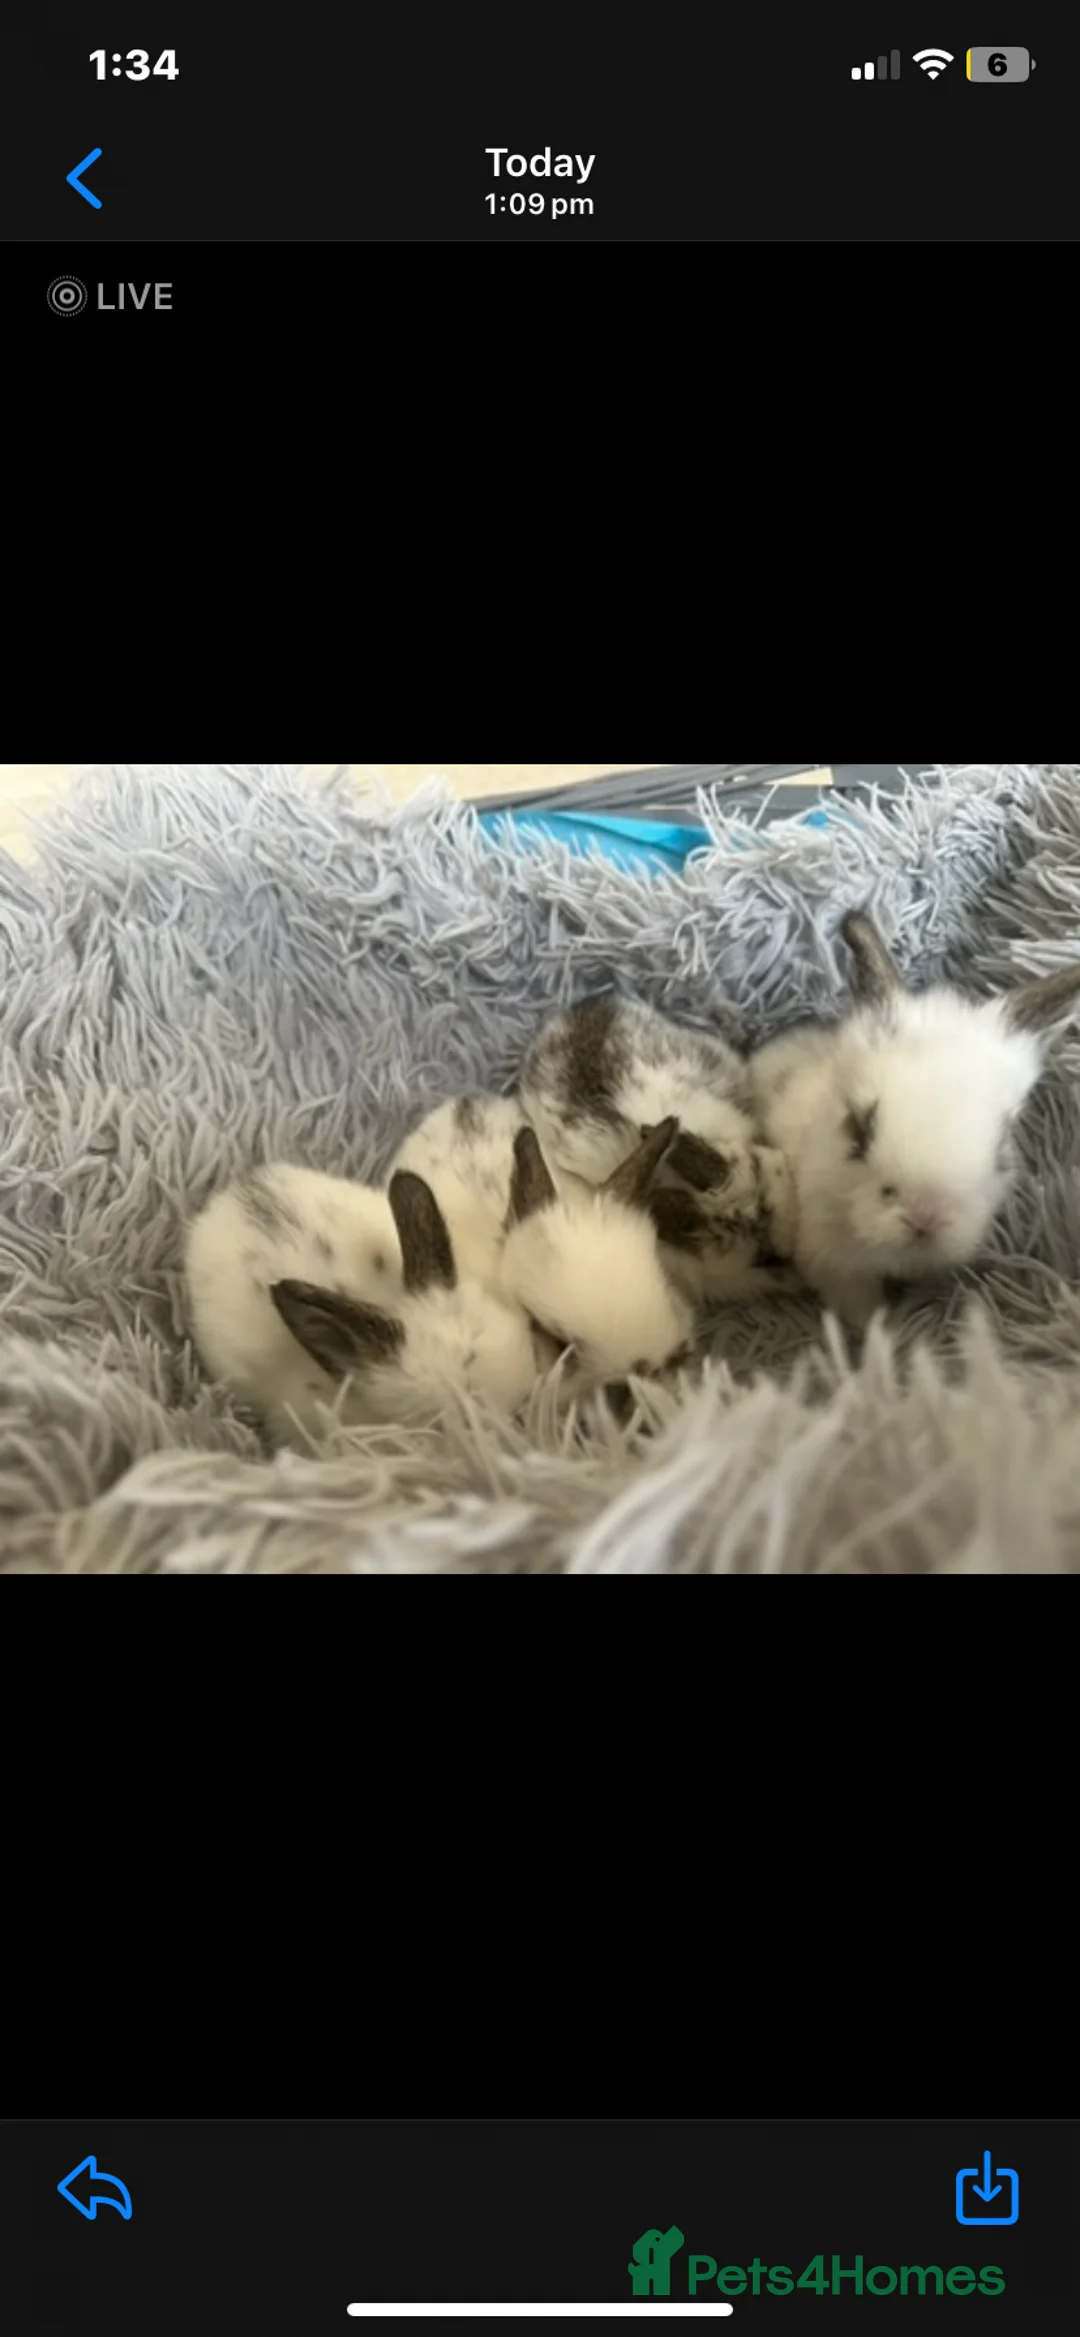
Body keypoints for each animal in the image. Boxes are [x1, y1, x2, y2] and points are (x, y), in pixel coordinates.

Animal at [748, 908, 1080, 1331]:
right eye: (858, 1131)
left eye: (1001, 1144)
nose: (925, 1217)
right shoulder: (837, 1267)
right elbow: (862, 1309)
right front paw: (881, 1330)